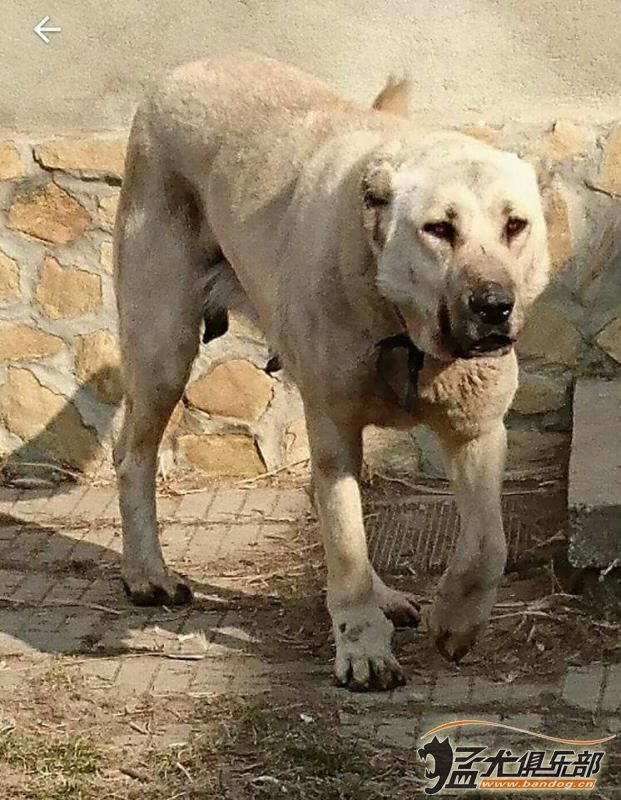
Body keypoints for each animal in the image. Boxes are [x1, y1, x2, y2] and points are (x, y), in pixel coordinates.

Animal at [114, 53, 548, 692]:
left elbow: (487, 544)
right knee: (133, 456)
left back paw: (389, 596)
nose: (494, 306)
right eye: (439, 229)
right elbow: (346, 544)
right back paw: (148, 575)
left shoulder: (478, 432)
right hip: (162, 349)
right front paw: (363, 647)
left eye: (515, 225)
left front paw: (455, 621)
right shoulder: (335, 429)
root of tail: (183, 71)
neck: (402, 328)